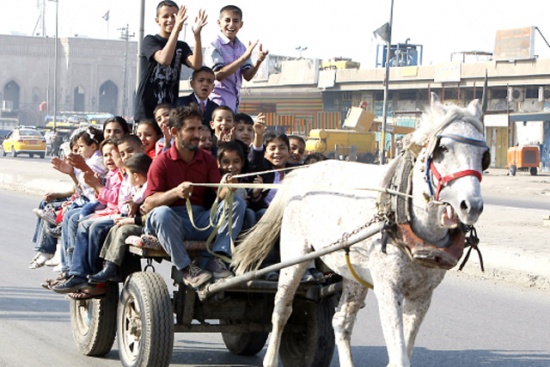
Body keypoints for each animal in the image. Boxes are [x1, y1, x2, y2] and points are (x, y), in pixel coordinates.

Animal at [233, 95, 488, 367]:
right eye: (444, 149)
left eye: (484, 155)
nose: (471, 205)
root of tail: (302, 172)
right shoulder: (388, 288)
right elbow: (399, 356)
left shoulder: (423, 295)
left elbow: (404, 351)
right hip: (294, 254)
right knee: (282, 309)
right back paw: (271, 355)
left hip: (353, 272)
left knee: (341, 321)